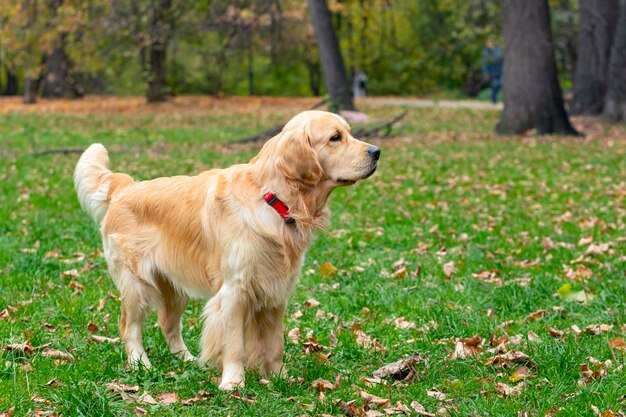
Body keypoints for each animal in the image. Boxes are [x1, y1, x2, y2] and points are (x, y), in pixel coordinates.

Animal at [71, 109, 378, 388]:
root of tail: (124, 187)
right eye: (335, 138)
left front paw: (278, 376)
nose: (377, 151)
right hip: (137, 284)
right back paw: (140, 365)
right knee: (130, 327)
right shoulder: (234, 292)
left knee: (168, 324)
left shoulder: (276, 290)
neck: (274, 199)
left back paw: (187, 359)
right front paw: (233, 383)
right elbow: (234, 346)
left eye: (348, 133)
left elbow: (275, 343)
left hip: (174, 286)